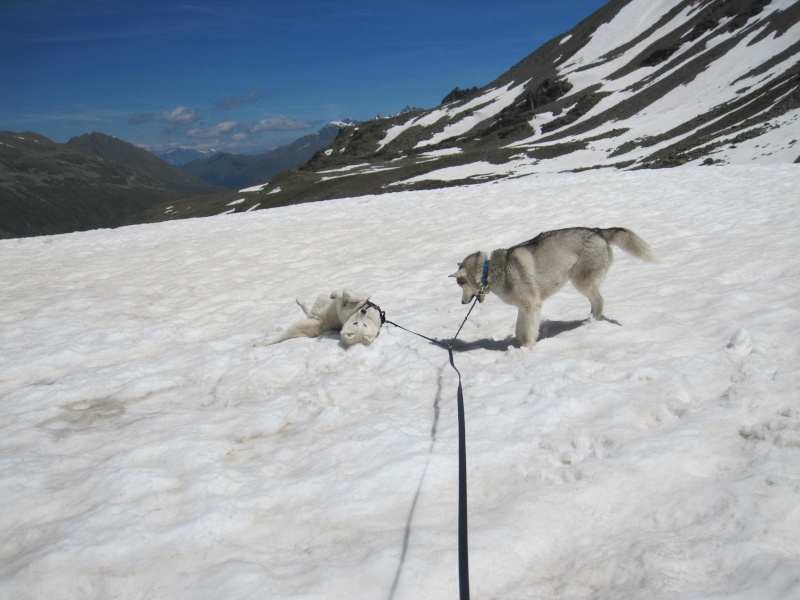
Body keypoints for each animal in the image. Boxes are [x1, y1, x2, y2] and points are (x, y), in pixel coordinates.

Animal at [450, 225, 656, 346]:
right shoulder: (524, 307)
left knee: (599, 300)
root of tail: (597, 230)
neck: (489, 270)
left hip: (581, 281)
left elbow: (529, 334)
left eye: (461, 286)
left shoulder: (533, 306)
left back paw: (591, 322)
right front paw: (518, 344)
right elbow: (519, 330)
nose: (462, 303)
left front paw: (527, 350)